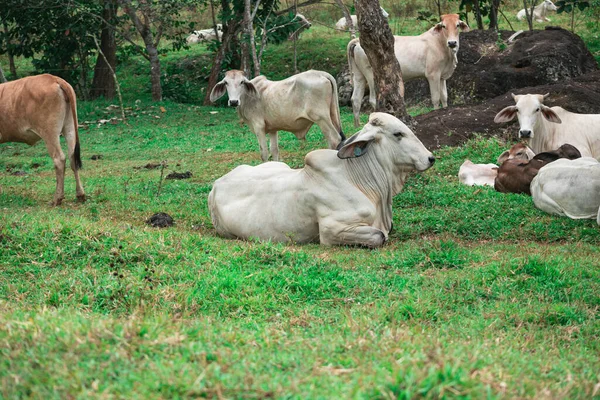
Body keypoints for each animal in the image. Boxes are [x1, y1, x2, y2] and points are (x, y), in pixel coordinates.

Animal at [0, 74, 85, 205]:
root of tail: (54, 78)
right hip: (70, 127)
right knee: (72, 157)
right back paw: (80, 194)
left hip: (50, 133)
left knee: (59, 159)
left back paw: (57, 198)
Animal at [210, 69, 342, 162]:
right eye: (226, 82)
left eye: (242, 82)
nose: (233, 102)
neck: (247, 96)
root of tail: (321, 73)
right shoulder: (273, 129)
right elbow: (274, 151)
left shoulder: (259, 127)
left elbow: (264, 153)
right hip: (332, 115)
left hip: (321, 119)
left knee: (334, 139)